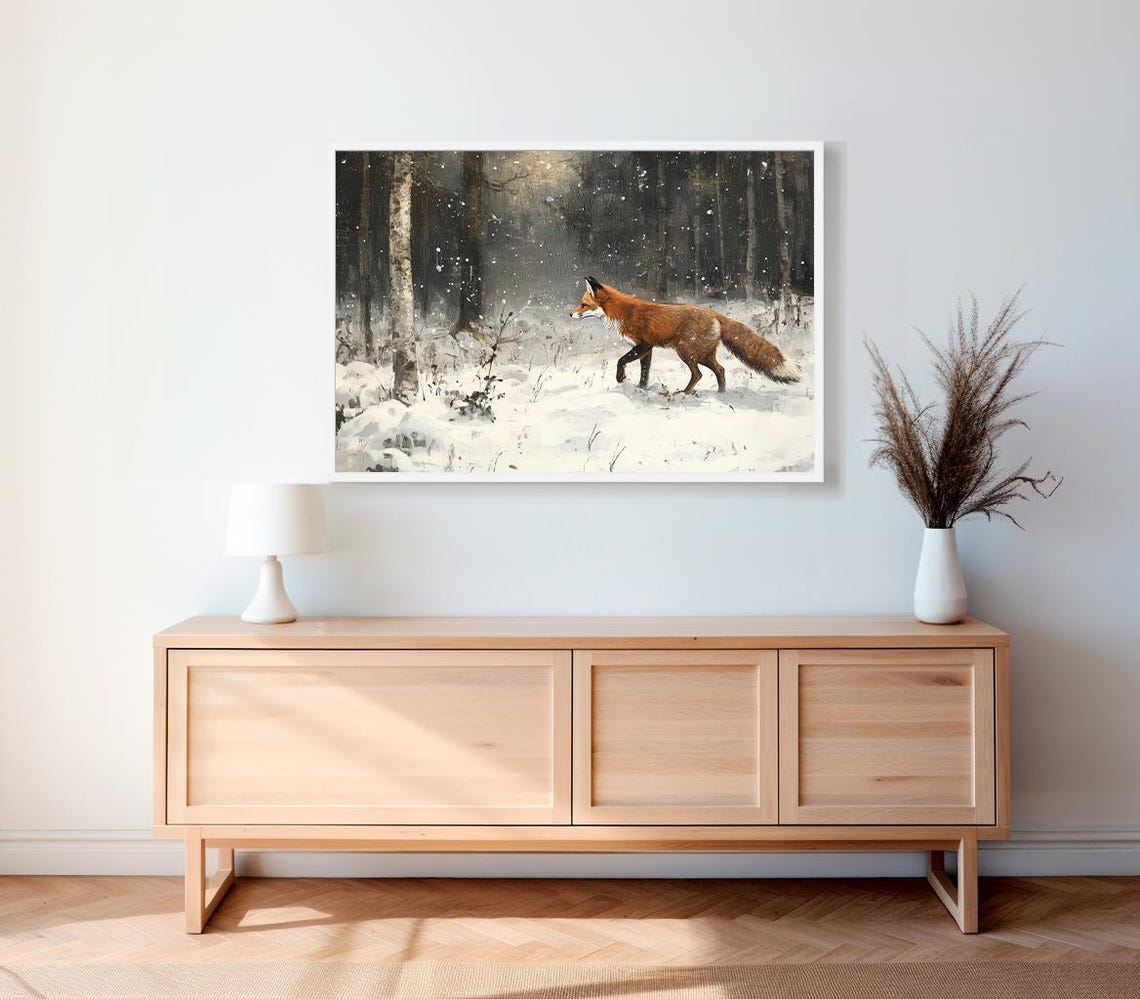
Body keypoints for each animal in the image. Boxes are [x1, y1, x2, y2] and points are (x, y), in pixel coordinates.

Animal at [570, 276, 801, 394]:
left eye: (583, 304)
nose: (570, 314)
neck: (622, 312)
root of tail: (714, 313)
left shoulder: (644, 344)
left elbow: (621, 361)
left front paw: (621, 378)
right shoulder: (648, 349)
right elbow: (645, 372)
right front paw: (641, 389)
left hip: (686, 353)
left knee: (698, 374)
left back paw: (685, 393)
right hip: (703, 355)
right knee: (720, 370)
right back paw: (721, 394)